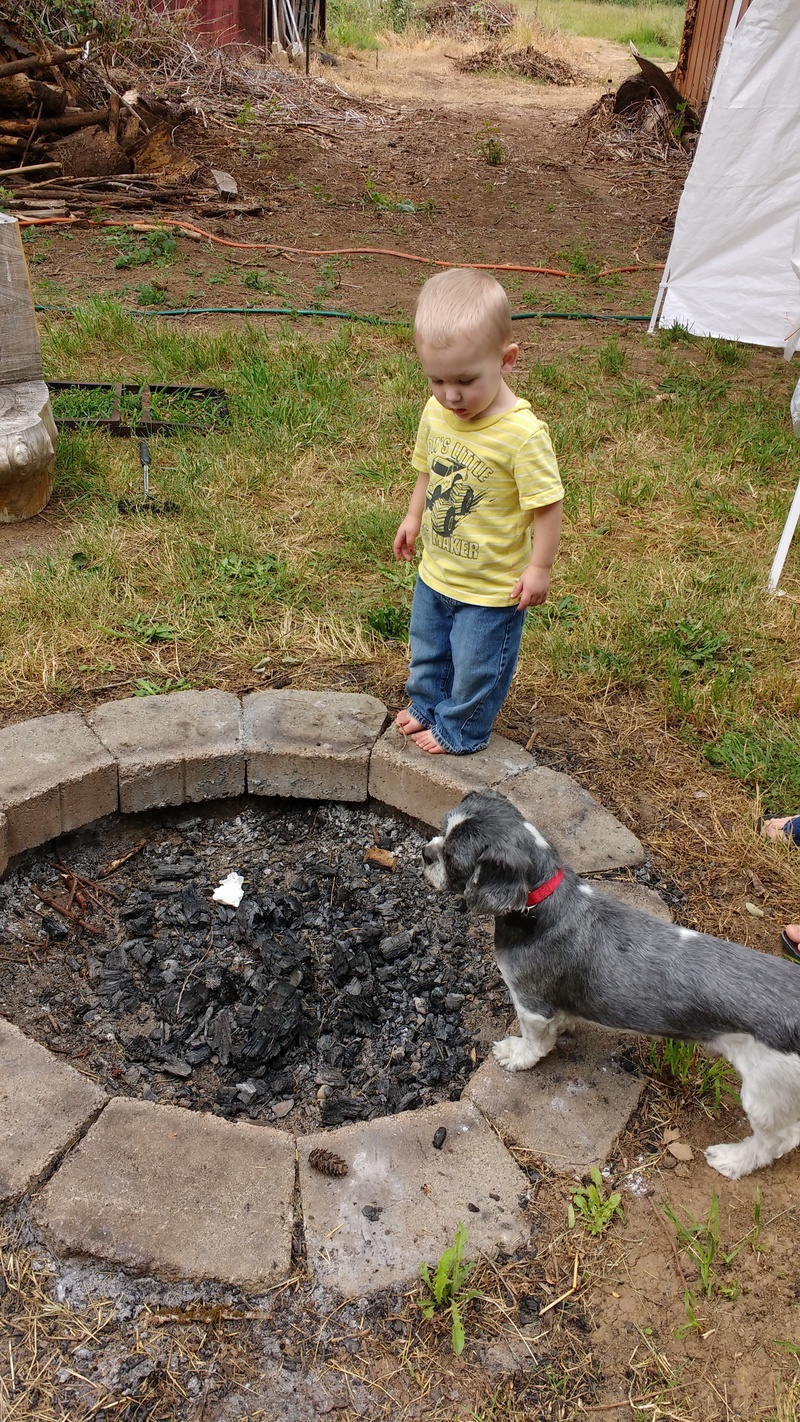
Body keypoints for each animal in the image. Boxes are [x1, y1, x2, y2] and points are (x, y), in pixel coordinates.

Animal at [429, 790, 800, 1177]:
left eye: (452, 857)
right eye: (441, 829)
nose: (427, 852)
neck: (543, 904)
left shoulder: (531, 1001)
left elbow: (535, 1041)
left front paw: (517, 1055)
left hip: (768, 1091)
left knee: (778, 1139)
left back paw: (734, 1159)